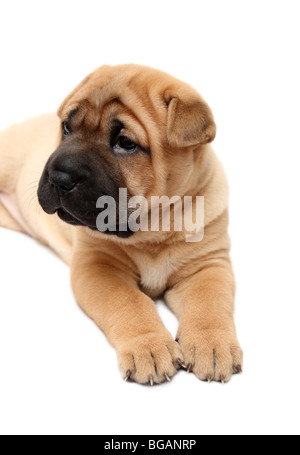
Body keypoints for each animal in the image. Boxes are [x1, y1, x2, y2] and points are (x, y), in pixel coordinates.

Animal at [0, 64, 243, 384]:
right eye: (66, 127)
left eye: (125, 143)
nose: (60, 178)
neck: (154, 229)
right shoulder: (99, 265)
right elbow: (130, 302)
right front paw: (149, 347)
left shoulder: (207, 264)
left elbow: (210, 302)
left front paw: (212, 344)